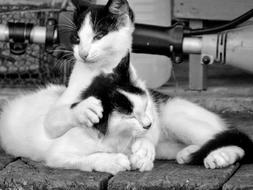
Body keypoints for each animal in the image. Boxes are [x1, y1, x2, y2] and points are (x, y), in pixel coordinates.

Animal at [0, 0, 253, 175]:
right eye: (76, 39)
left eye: (100, 36)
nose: (83, 53)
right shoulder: (58, 144)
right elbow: (77, 145)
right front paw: (113, 158)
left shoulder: (150, 110)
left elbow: (148, 133)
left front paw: (142, 151)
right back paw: (190, 153)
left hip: (182, 120)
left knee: (232, 140)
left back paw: (219, 156)